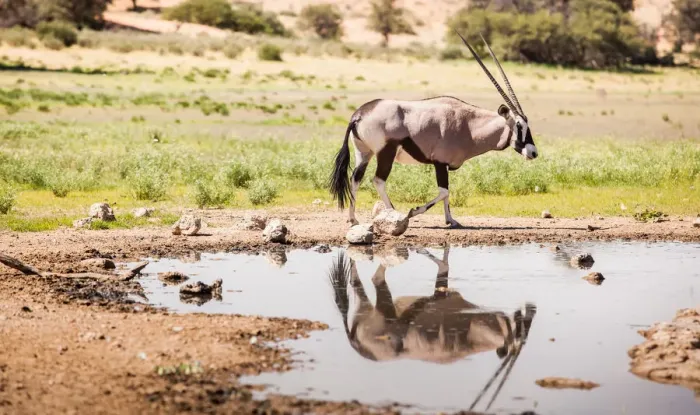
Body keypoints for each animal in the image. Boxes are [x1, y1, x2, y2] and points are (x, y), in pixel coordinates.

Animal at [328, 32, 538, 229]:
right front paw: (414, 211)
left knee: (355, 178)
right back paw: (395, 214)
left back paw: (353, 219)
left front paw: (451, 220)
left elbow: (446, 193)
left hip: (364, 153)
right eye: (519, 125)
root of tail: (359, 115)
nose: (533, 153)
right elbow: (444, 191)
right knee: (378, 180)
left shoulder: (443, 165)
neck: (468, 125)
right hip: (385, 153)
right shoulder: (440, 162)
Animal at [328, 246, 536, 411]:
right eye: (519, 332)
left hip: (367, 309)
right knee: (376, 278)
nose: (531, 310)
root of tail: (356, 344)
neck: (470, 331)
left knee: (358, 284)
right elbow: (443, 265)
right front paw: (419, 248)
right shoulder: (440, 297)